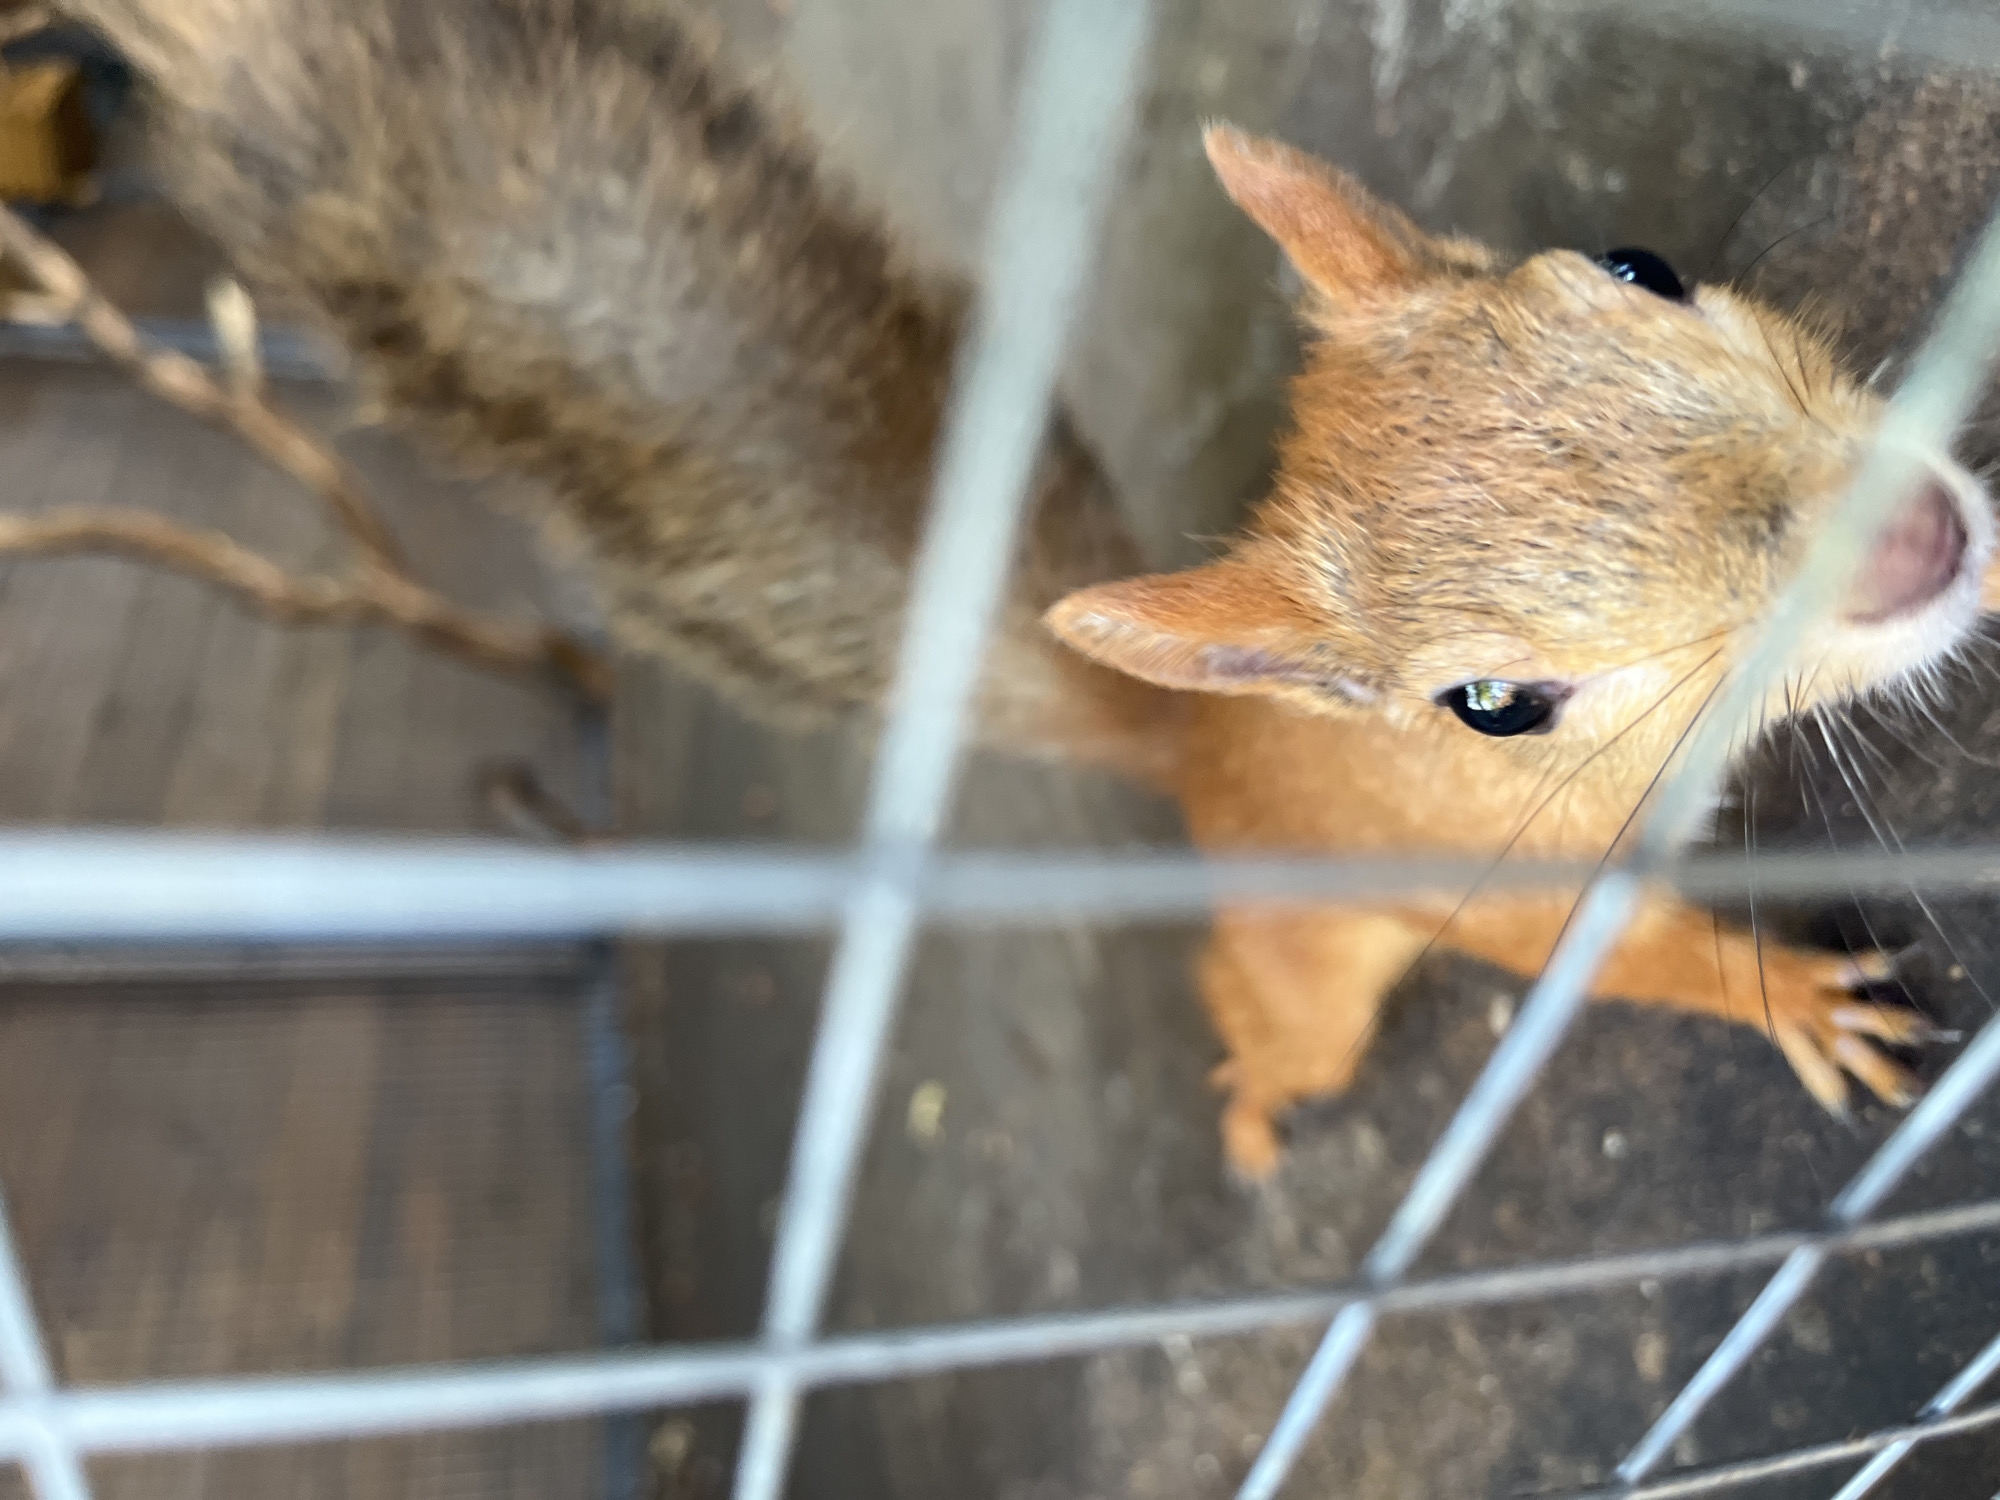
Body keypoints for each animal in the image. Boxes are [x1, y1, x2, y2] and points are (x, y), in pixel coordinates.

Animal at [50, 0, 2000, 1174]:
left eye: (1642, 264)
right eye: (1493, 705)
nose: (1916, 540)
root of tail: (1195, 763)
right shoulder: (1497, 885)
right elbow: (1627, 961)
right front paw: (1795, 1007)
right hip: (1304, 974)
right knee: (1284, 1035)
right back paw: (1254, 1112)